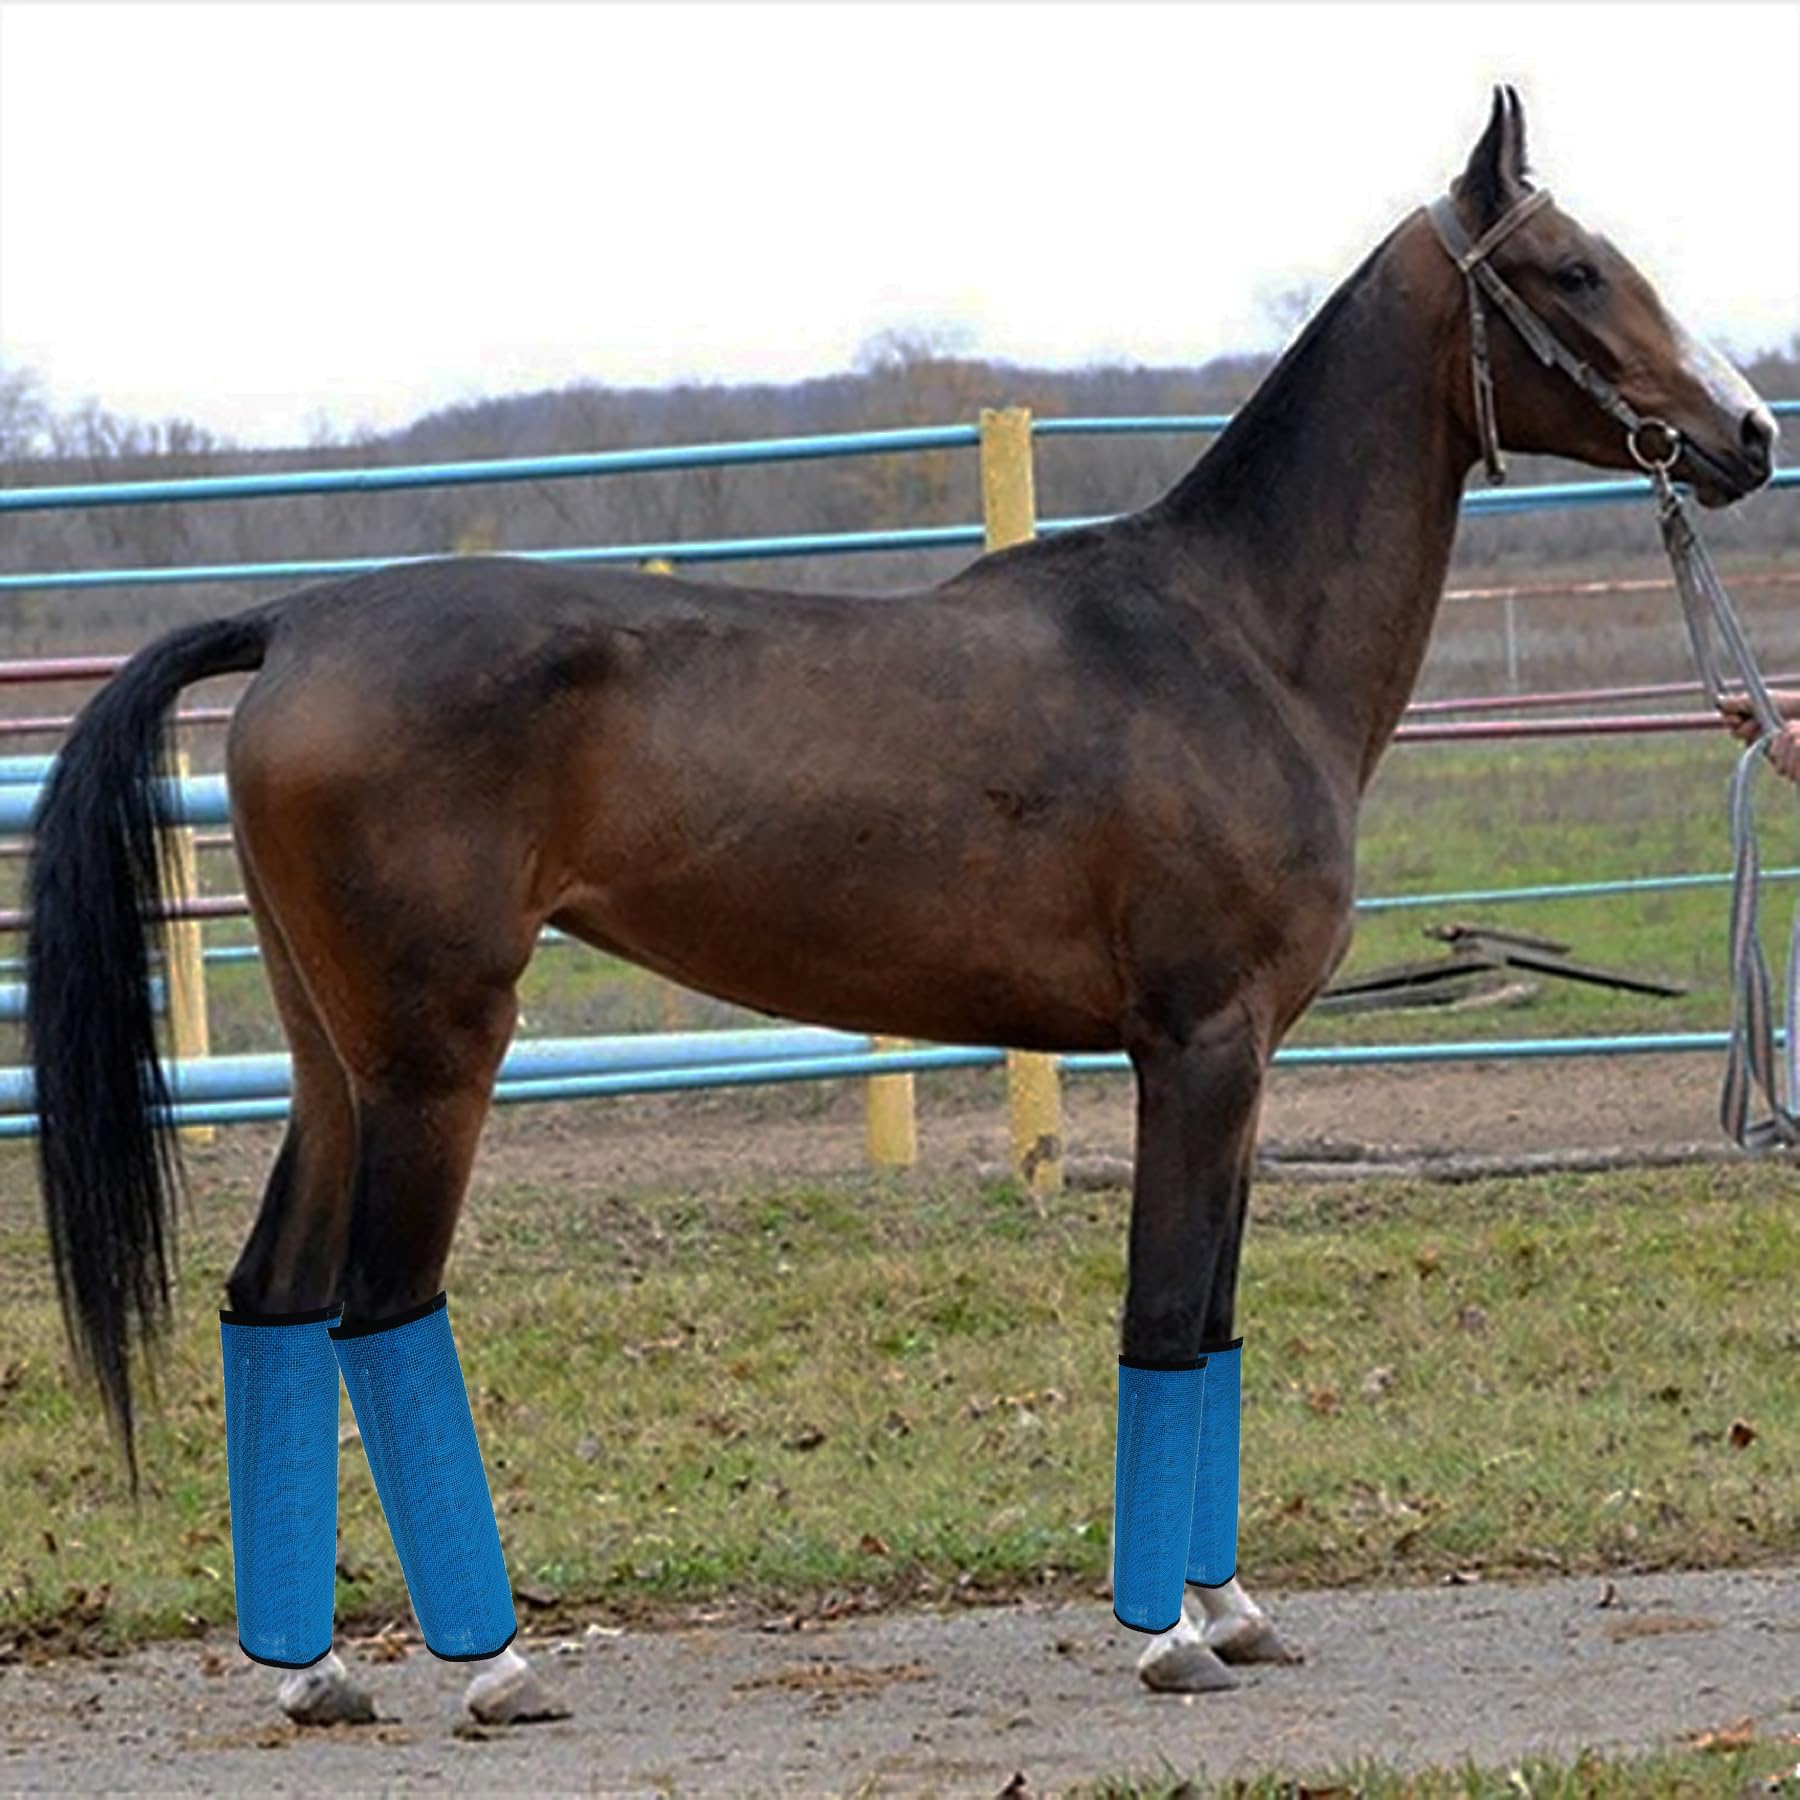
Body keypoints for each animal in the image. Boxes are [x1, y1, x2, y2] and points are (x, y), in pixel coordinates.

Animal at [25, 87, 1777, 1726]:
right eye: (1576, 268)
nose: (1749, 435)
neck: (1231, 639)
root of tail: (304, 621)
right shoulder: (1195, 1047)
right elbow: (1164, 1320)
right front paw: (1164, 1641)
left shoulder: (1250, 1061)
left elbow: (1214, 1321)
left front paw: (1233, 1614)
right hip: (434, 1060)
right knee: (378, 1313)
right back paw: (496, 1666)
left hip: (335, 1061)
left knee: (273, 1300)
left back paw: (313, 1671)